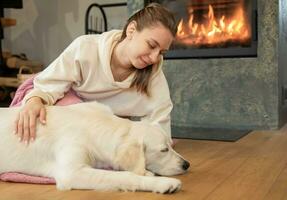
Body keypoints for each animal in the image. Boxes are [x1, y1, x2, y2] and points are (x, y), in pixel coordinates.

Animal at [0, 102, 191, 193]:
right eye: (163, 150)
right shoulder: (71, 172)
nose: (186, 164)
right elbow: (126, 176)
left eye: (170, 145)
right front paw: (162, 183)